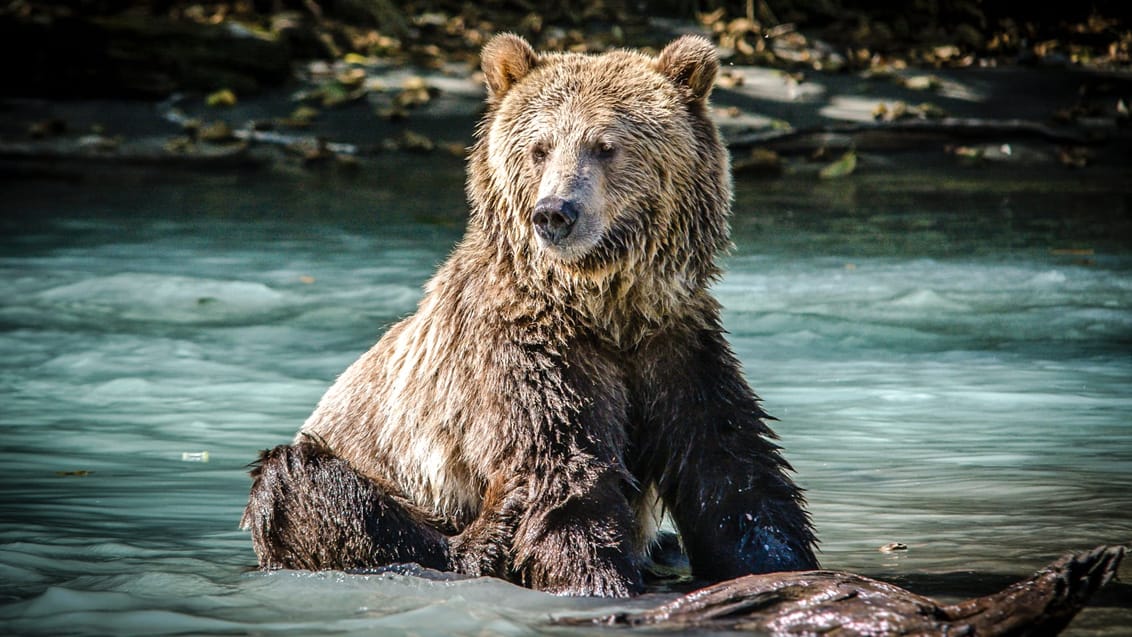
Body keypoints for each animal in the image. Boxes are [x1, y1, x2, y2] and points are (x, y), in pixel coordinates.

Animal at [243, 29, 819, 597]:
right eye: (540, 147)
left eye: (605, 146)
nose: (555, 213)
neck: (603, 307)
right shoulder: (525, 359)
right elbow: (564, 481)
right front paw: (595, 580)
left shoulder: (675, 348)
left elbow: (733, 475)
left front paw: (780, 564)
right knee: (300, 485)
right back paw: (488, 531)